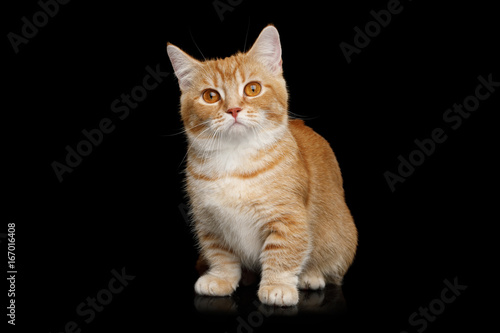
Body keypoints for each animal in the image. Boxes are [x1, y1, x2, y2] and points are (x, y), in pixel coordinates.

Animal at [168, 25, 360, 306]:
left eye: (252, 89)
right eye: (210, 96)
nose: (233, 109)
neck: (235, 160)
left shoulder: (289, 218)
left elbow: (283, 251)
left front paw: (277, 285)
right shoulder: (209, 222)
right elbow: (221, 254)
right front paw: (222, 278)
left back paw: (310, 275)